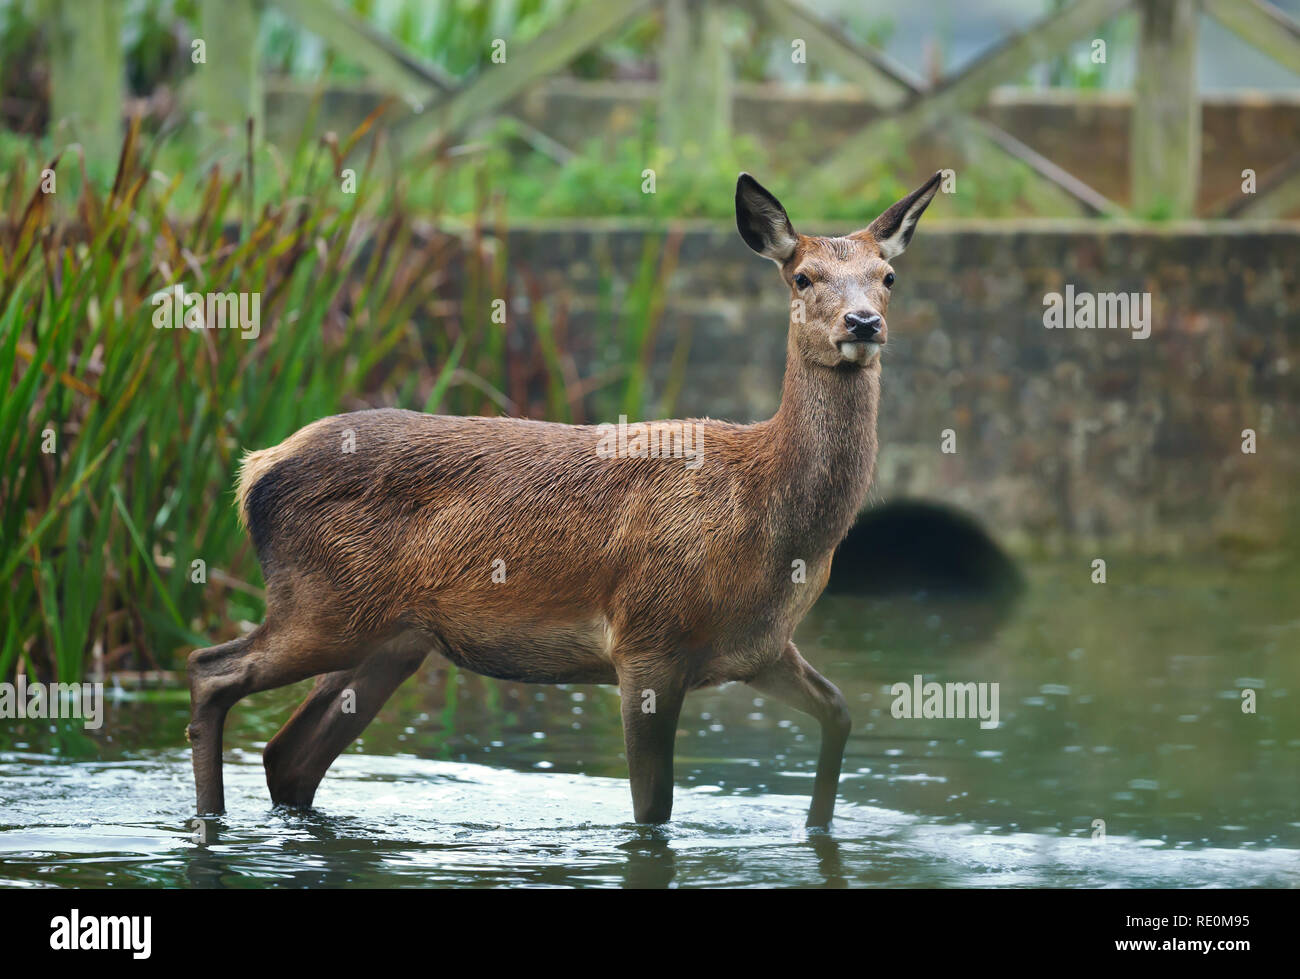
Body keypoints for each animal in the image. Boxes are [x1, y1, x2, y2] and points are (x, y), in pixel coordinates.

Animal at [188, 174, 941, 826]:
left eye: (888, 276)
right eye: (803, 276)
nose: (863, 323)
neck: (775, 527)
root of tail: (253, 470)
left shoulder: (761, 647)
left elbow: (840, 712)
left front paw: (817, 829)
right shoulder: (646, 639)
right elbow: (653, 810)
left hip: (391, 637)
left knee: (288, 755)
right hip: (320, 603)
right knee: (210, 670)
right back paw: (207, 819)